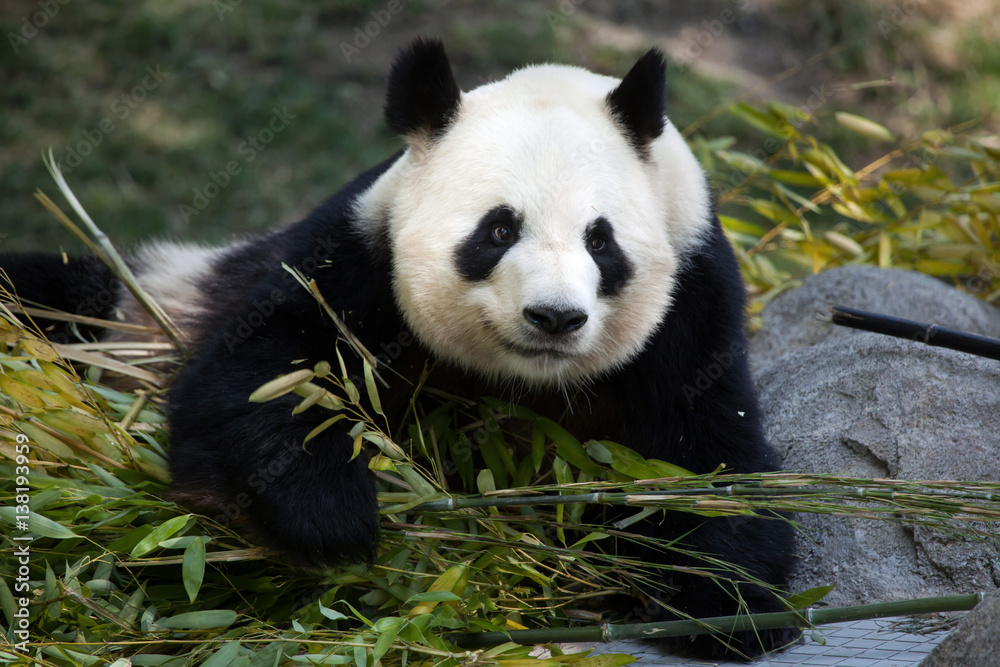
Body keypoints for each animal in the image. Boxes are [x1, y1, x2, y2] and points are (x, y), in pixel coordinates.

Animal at [1, 39, 795, 658]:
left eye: (601, 240)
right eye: (498, 230)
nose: (554, 317)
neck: (521, 382)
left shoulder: (692, 303)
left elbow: (705, 456)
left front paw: (728, 604)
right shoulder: (356, 255)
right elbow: (255, 379)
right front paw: (332, 518)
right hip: (124, 311)